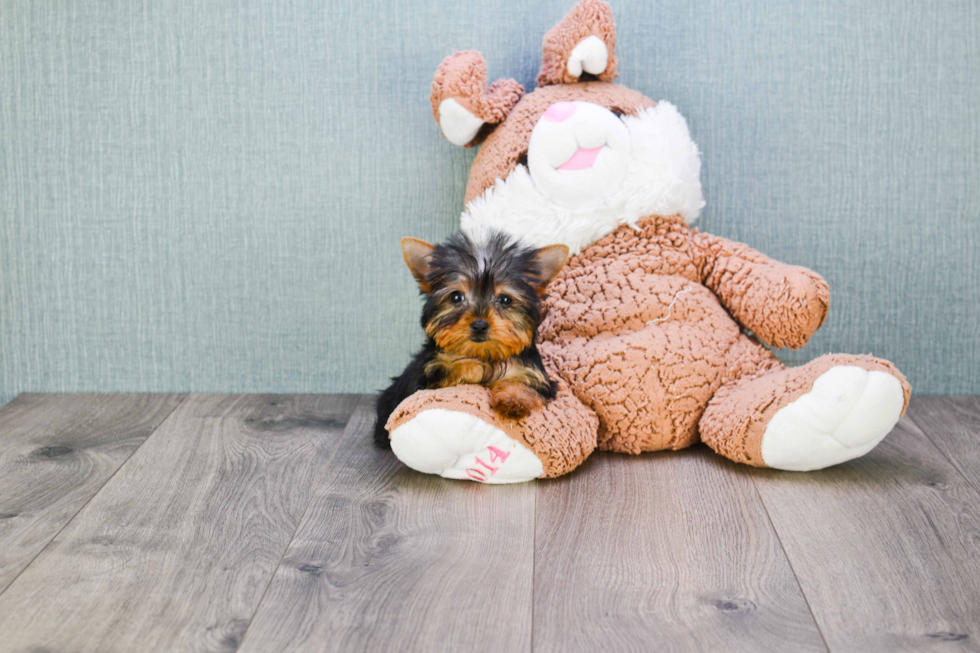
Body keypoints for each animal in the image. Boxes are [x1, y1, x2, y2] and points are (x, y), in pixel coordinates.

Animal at [378, 230, 576, 448]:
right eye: (456, 297)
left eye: (505, 299)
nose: (479, 325)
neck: (483, 353)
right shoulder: (429, 376)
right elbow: (457, 367)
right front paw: (478, 368)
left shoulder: (537, 378)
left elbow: (524, 385)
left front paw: (513, 400)